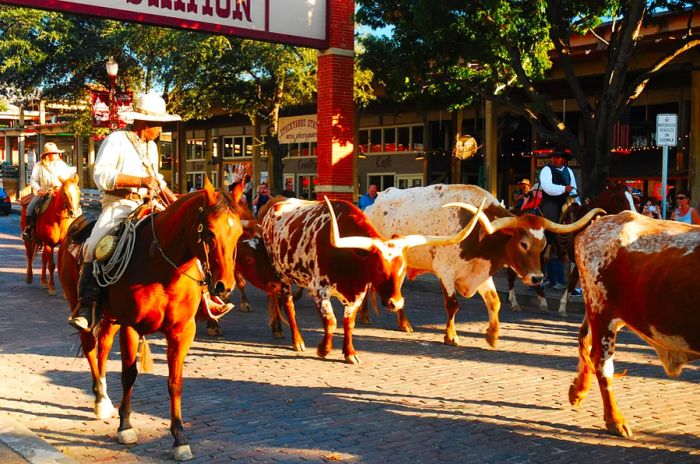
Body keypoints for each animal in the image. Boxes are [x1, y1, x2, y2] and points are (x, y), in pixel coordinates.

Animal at [56, 179, 243, 460]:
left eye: (240, 233)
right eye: (209, 232)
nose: (224, 286)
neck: (162, 268)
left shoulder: (181, 331)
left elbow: (175, 382)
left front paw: (179, 438)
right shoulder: (131, 327)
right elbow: (129, 374)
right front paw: (125, 427)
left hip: (110, 319)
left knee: (102, 350)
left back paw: (105, 399)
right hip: (82, 307)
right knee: (90, 348)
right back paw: (100, 400)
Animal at [506, 181, 632, 316]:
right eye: (621, 199)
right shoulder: (579, 261)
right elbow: (572, 283)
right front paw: (562, 308)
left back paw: (541, 302)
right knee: (512, 274)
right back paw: (516, 303)